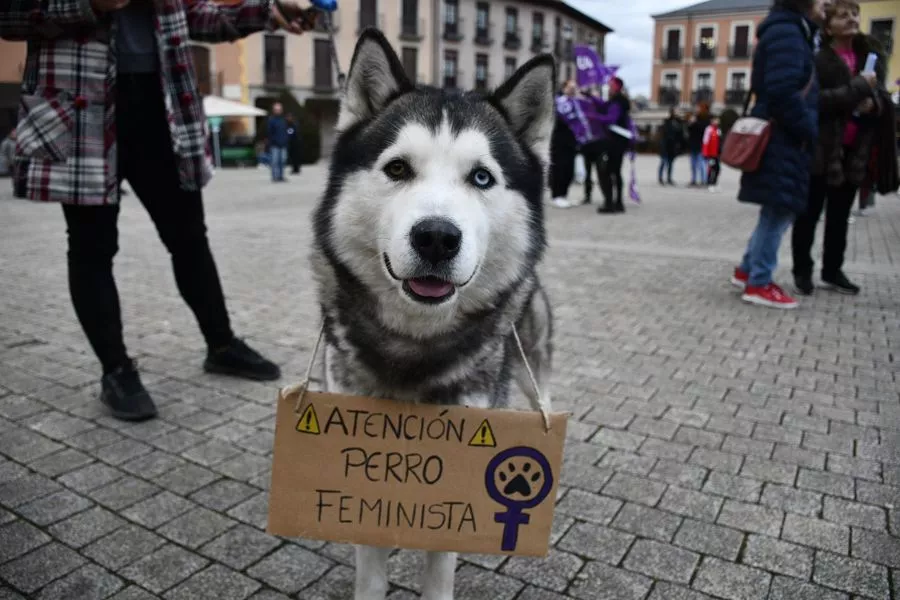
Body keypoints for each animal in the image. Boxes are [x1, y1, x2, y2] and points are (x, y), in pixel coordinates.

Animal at [312, 30, 560, 600]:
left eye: (482, 177)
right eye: (398, 168)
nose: (437, 237)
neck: (414, 344)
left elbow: (440, 564)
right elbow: (370, 568)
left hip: (532, 366)